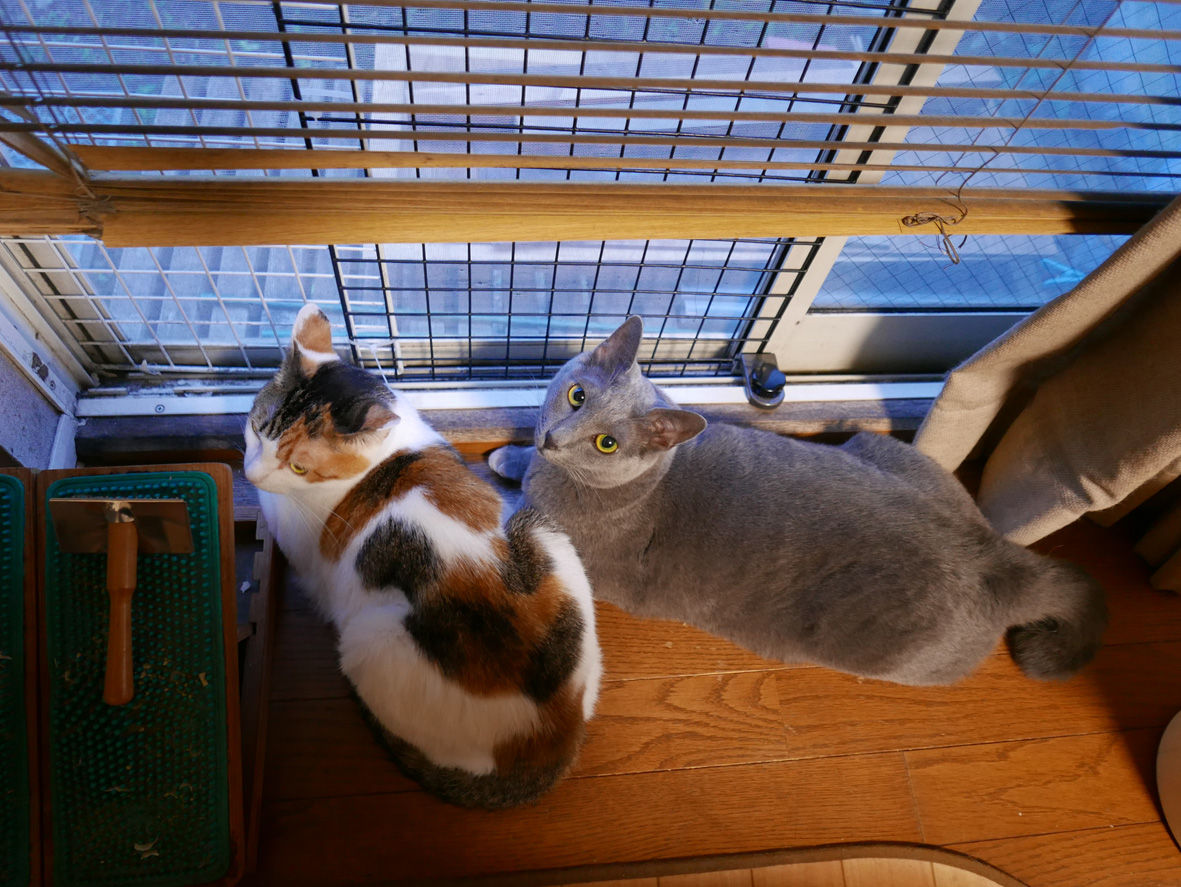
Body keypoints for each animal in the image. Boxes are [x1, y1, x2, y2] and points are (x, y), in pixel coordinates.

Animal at [244, 304, 602, 808]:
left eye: (298, 466)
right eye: (257, 429)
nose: (251, 475)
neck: (380, 457)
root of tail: (552, 735)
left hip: (365, 641)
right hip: (542, 528)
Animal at [490, 316, 1106, 686]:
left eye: (607, 443)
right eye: (576, 395)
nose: (552, 440)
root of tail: (997, 555)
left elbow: (514, 512)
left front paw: (498, 475)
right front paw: (509, 457)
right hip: (883, 447)